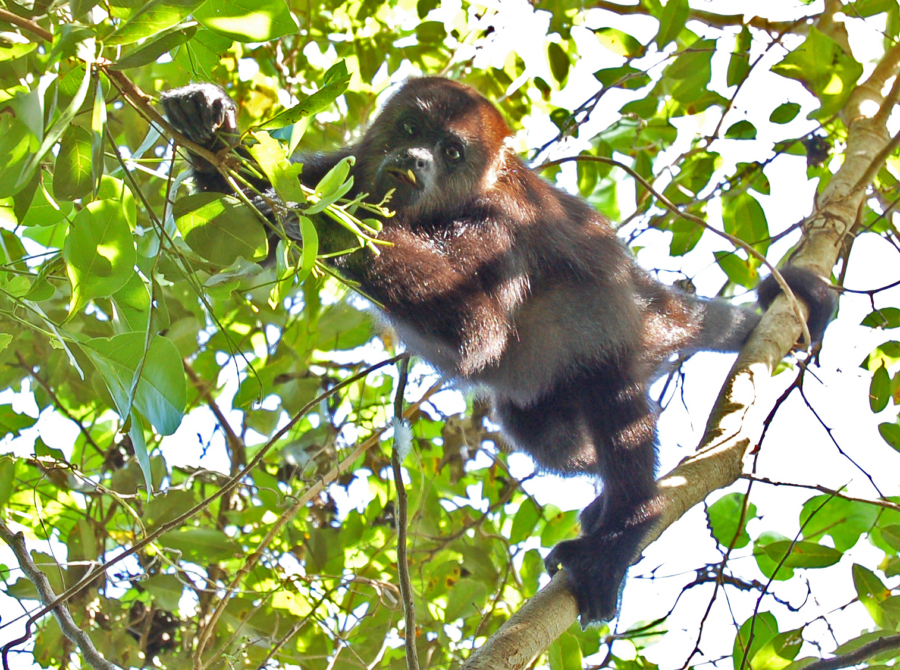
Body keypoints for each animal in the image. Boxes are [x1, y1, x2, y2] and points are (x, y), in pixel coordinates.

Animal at [160, 77, 836, 624]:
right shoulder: (349, 165)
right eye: (412, 129)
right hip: (550, 405)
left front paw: (332, 226)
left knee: (617, 410)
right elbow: (261, 203)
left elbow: (476, 330)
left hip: (623, 340)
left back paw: (626, 528)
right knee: (551, 438)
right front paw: (210, 118)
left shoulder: (499, 225)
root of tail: (652, 299)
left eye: (451, 152)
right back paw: (600, 503)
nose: (415, 158)